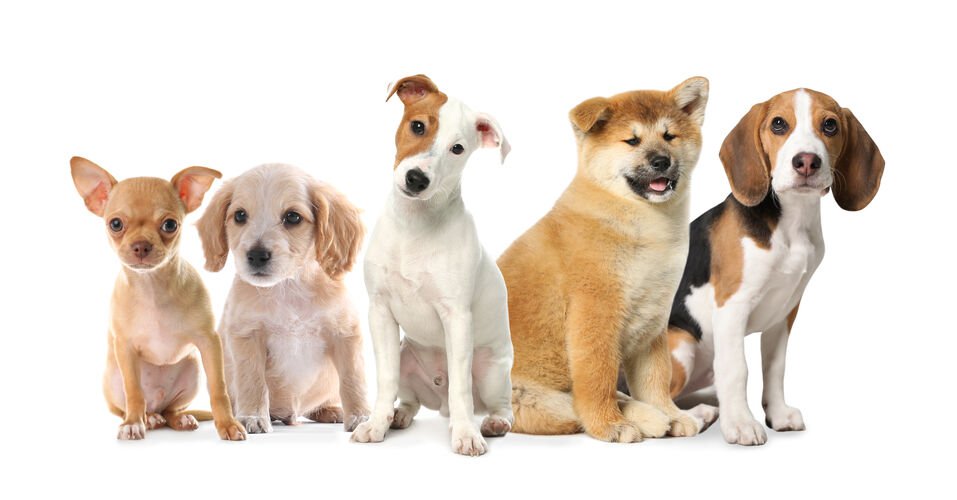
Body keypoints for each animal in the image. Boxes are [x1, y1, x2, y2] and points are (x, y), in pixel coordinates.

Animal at [73, 156, 248, 442]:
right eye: (115, 224)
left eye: (170, 225)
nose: (141, 245)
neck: (152, 287)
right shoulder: (125, 348)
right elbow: (134, 393)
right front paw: (133, 424)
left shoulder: (209, 343)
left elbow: (218, 389)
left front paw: (228, 424)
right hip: (113, 380)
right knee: (139, 405)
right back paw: (146, 419)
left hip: (192, 370)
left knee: (171, 410)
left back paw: (180, 419)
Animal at [198, 164, 370, 434]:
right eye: (239, 216)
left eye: (293, 217)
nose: (256, 255)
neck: (287, 288)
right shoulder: (247, 336)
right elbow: (253, 381)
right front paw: (253, 417)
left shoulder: (345, 334)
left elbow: (354, 379)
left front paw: (362, 417)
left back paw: (331, 410)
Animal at [352, 75, 516, 458]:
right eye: (417, 126)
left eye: (457, 148)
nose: (417, 178)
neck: (415, 225)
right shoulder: (379, 312)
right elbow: (386, 379)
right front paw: (376, 424)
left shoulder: (456, 318)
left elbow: (460, 388)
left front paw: (467, 435)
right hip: (406, 356)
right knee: (411, 400)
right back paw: (398, 417)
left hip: (493, 371)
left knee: (498, 404)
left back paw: (491, 423)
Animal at [500, 77, 708, 442]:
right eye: (631, 140)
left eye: (669, 136)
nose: (661, 161)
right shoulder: (595, 315)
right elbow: (598, 379)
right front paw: (609, 425)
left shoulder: (653, 323)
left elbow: (656, 379)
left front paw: (671, 414)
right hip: (528, 399)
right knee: (574, 407)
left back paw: (658, 417)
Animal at [664, 87, 880, 446]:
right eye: (779, 124)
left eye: (830, 125)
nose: (806, 161)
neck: (791, 223)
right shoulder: (731, 306)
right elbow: (738, 369)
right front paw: (740, 424)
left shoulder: (785, 311)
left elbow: (775, 367)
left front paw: (776, 415)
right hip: (681, 347)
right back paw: (694, 418)